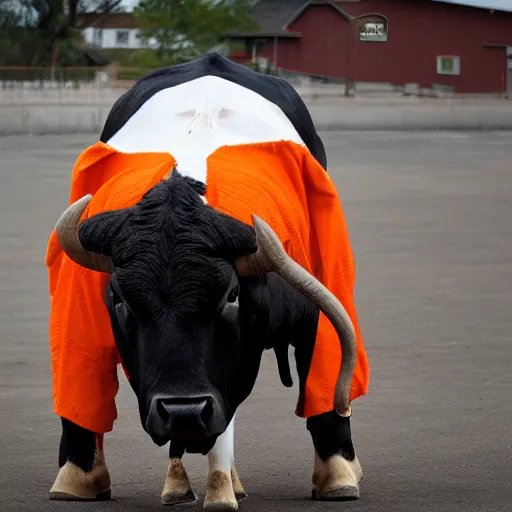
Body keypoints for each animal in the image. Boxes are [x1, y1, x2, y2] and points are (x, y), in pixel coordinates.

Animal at [47, 51, 368, 508]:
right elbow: (80, 389)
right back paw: (183, 480)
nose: (184, 410)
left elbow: (322, 384)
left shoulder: (311, 310)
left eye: (232, 295)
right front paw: (77, 477)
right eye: (120, 299)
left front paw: (338, 474)